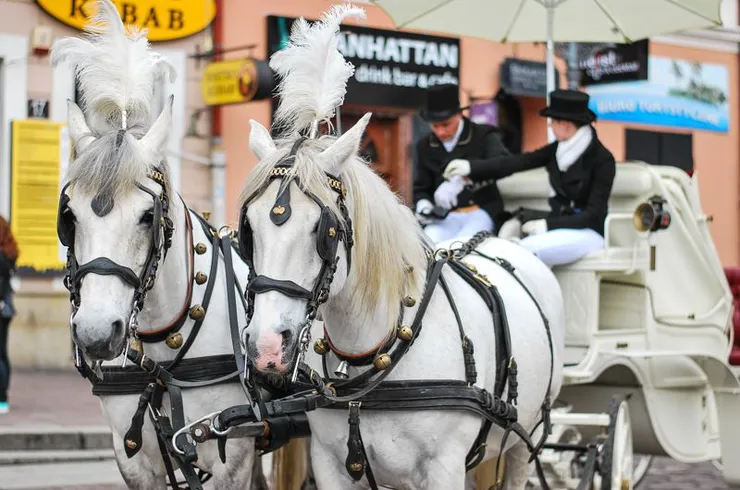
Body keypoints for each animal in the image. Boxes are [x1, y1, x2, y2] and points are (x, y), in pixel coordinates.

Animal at [237, 4, 568, 490]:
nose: (265, 348)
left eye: (324, 231)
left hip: (523, 444)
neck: (370, 356)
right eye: (249, 230)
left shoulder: (444, 468)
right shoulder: (330, 464)